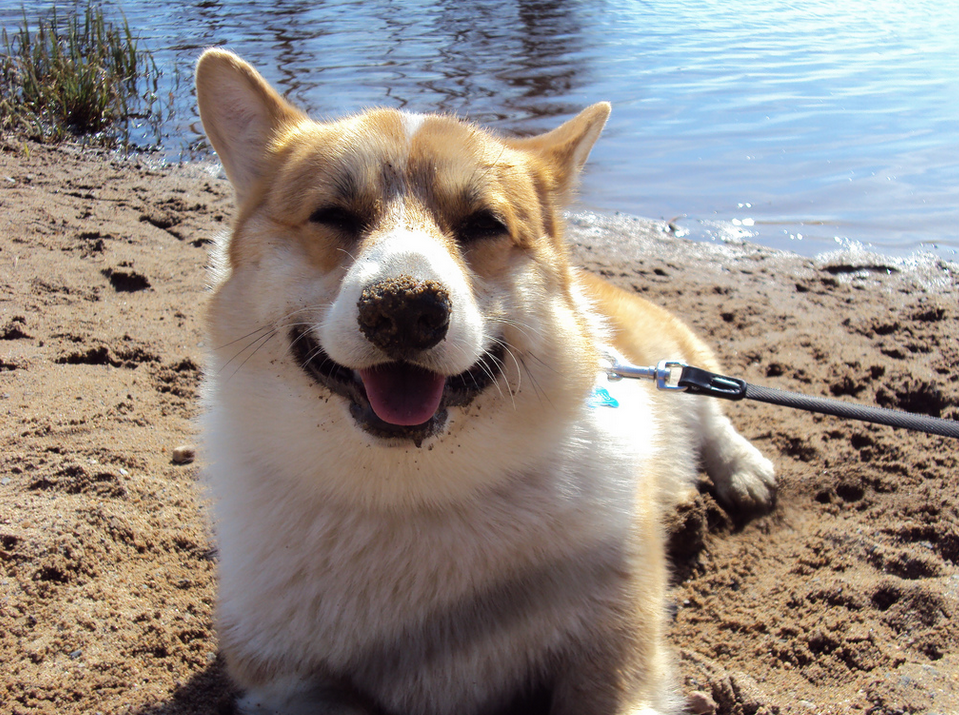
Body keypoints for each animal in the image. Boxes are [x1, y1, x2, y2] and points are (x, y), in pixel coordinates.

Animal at [193, 47, 772, 712]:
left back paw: (744, 470)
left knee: (708, 402)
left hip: (668, 353)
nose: (405, 310)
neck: (413, 493)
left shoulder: (619, 655)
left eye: (484, 224)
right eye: (333, 215)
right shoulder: (284, 681)